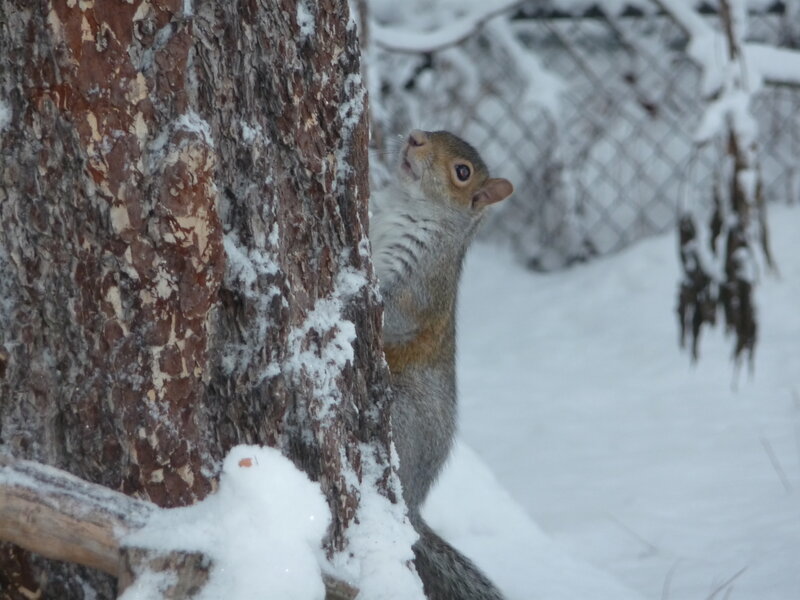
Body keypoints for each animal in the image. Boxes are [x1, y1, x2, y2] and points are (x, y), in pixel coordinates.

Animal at [370, 129, 513, 600]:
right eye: (437, 131)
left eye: (462, 172)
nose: (415, 137)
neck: (407, 205)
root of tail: (414, 504)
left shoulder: (421, 285)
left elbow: (392, 314)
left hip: (403, 414)